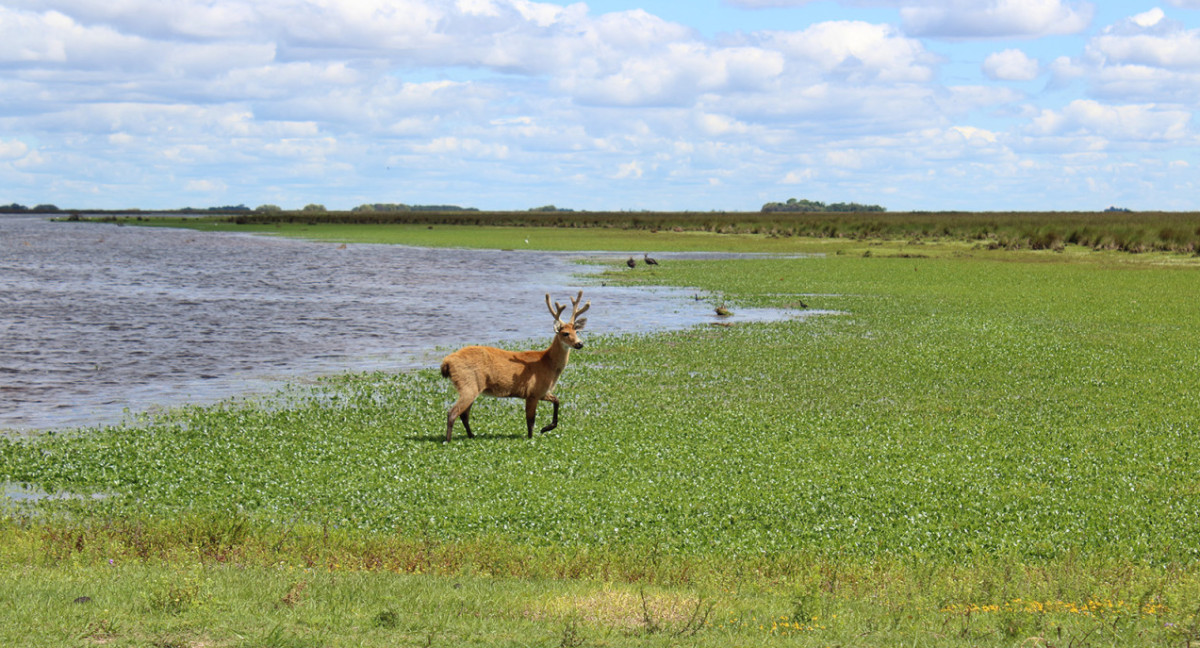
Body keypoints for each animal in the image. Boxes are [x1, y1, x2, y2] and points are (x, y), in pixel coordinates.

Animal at [441, 291, 590, 444]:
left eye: (577, 332)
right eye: (565, 333)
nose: (580, 344)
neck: (548, 364)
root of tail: (446, 362)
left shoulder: (541, 391)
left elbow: (557, 401)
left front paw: (546, 428)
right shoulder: (533, 391)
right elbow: (530, 420)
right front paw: (532, 437)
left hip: (474, 387)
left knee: (464, 414)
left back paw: (471, 435)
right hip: (467, 383)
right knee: (452, 412)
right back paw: (448, 440)